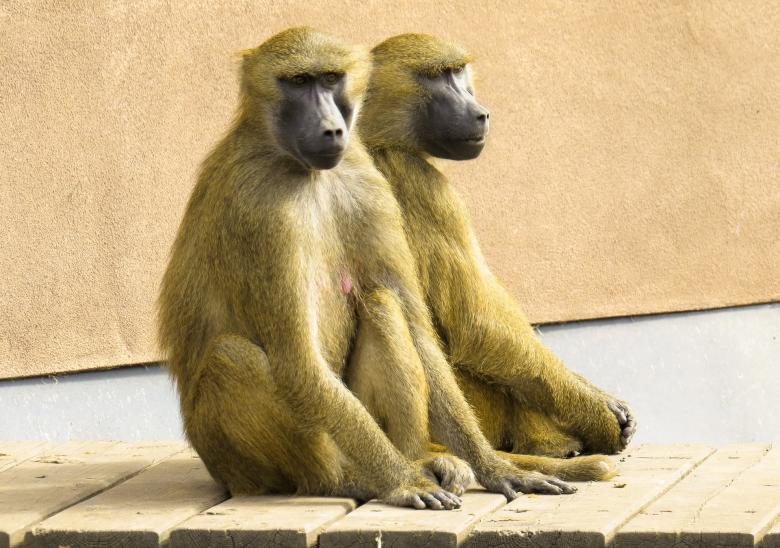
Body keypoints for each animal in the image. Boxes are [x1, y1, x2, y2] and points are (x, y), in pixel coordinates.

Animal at [157, 27, 591, 512]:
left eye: (331, 79)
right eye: (298, 82)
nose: (332, 128)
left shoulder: (368, 186)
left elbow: (418, 329)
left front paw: (495, 468)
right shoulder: (264, 213)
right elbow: (300, 362)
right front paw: (401, 483)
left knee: (383, 302)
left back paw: (421, 458)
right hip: (246, 461)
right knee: (232, 356)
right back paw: (349, 479)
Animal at [357, 33, 637, 459]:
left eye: (459, 73)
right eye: (438, 76)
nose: (481, 113)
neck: (375, 137)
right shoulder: (424, 186)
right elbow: (475, 323)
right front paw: (600, 417)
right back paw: (552, 446)